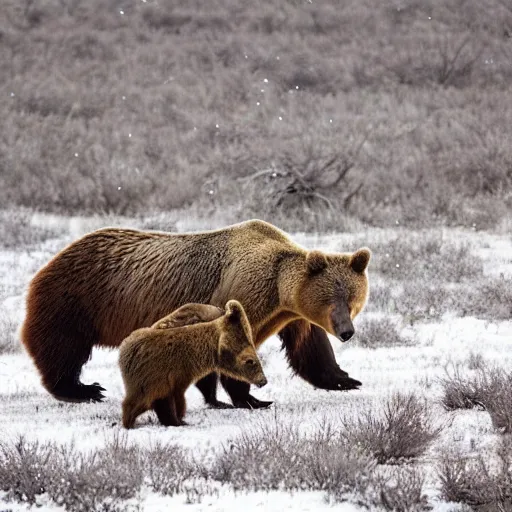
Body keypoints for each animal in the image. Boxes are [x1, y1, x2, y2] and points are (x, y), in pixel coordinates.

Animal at [22, 219, 370, 408]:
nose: (346, 332)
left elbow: (309, 348)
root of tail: (50, 260)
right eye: (331, 300)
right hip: (75, 299)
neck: (278, 293)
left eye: (352, 299)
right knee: (63, 347)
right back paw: (83, 389)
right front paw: (251, 399)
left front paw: (346, 379)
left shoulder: (292, 317)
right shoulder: (242, 297)